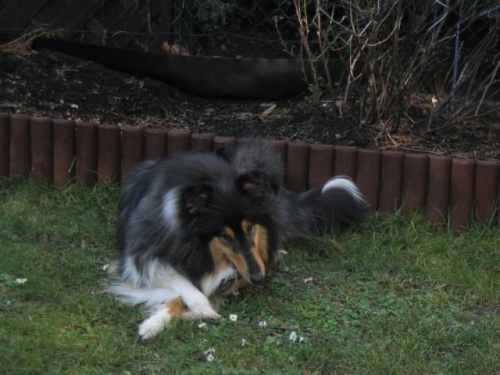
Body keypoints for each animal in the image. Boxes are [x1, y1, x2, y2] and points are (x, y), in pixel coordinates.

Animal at [107, 140, 366, 340]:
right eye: (224, 236)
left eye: (250, 228)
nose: (259, 278)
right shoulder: (141, 256)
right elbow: (181, 283)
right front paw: (160, 322)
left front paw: (192, 311)